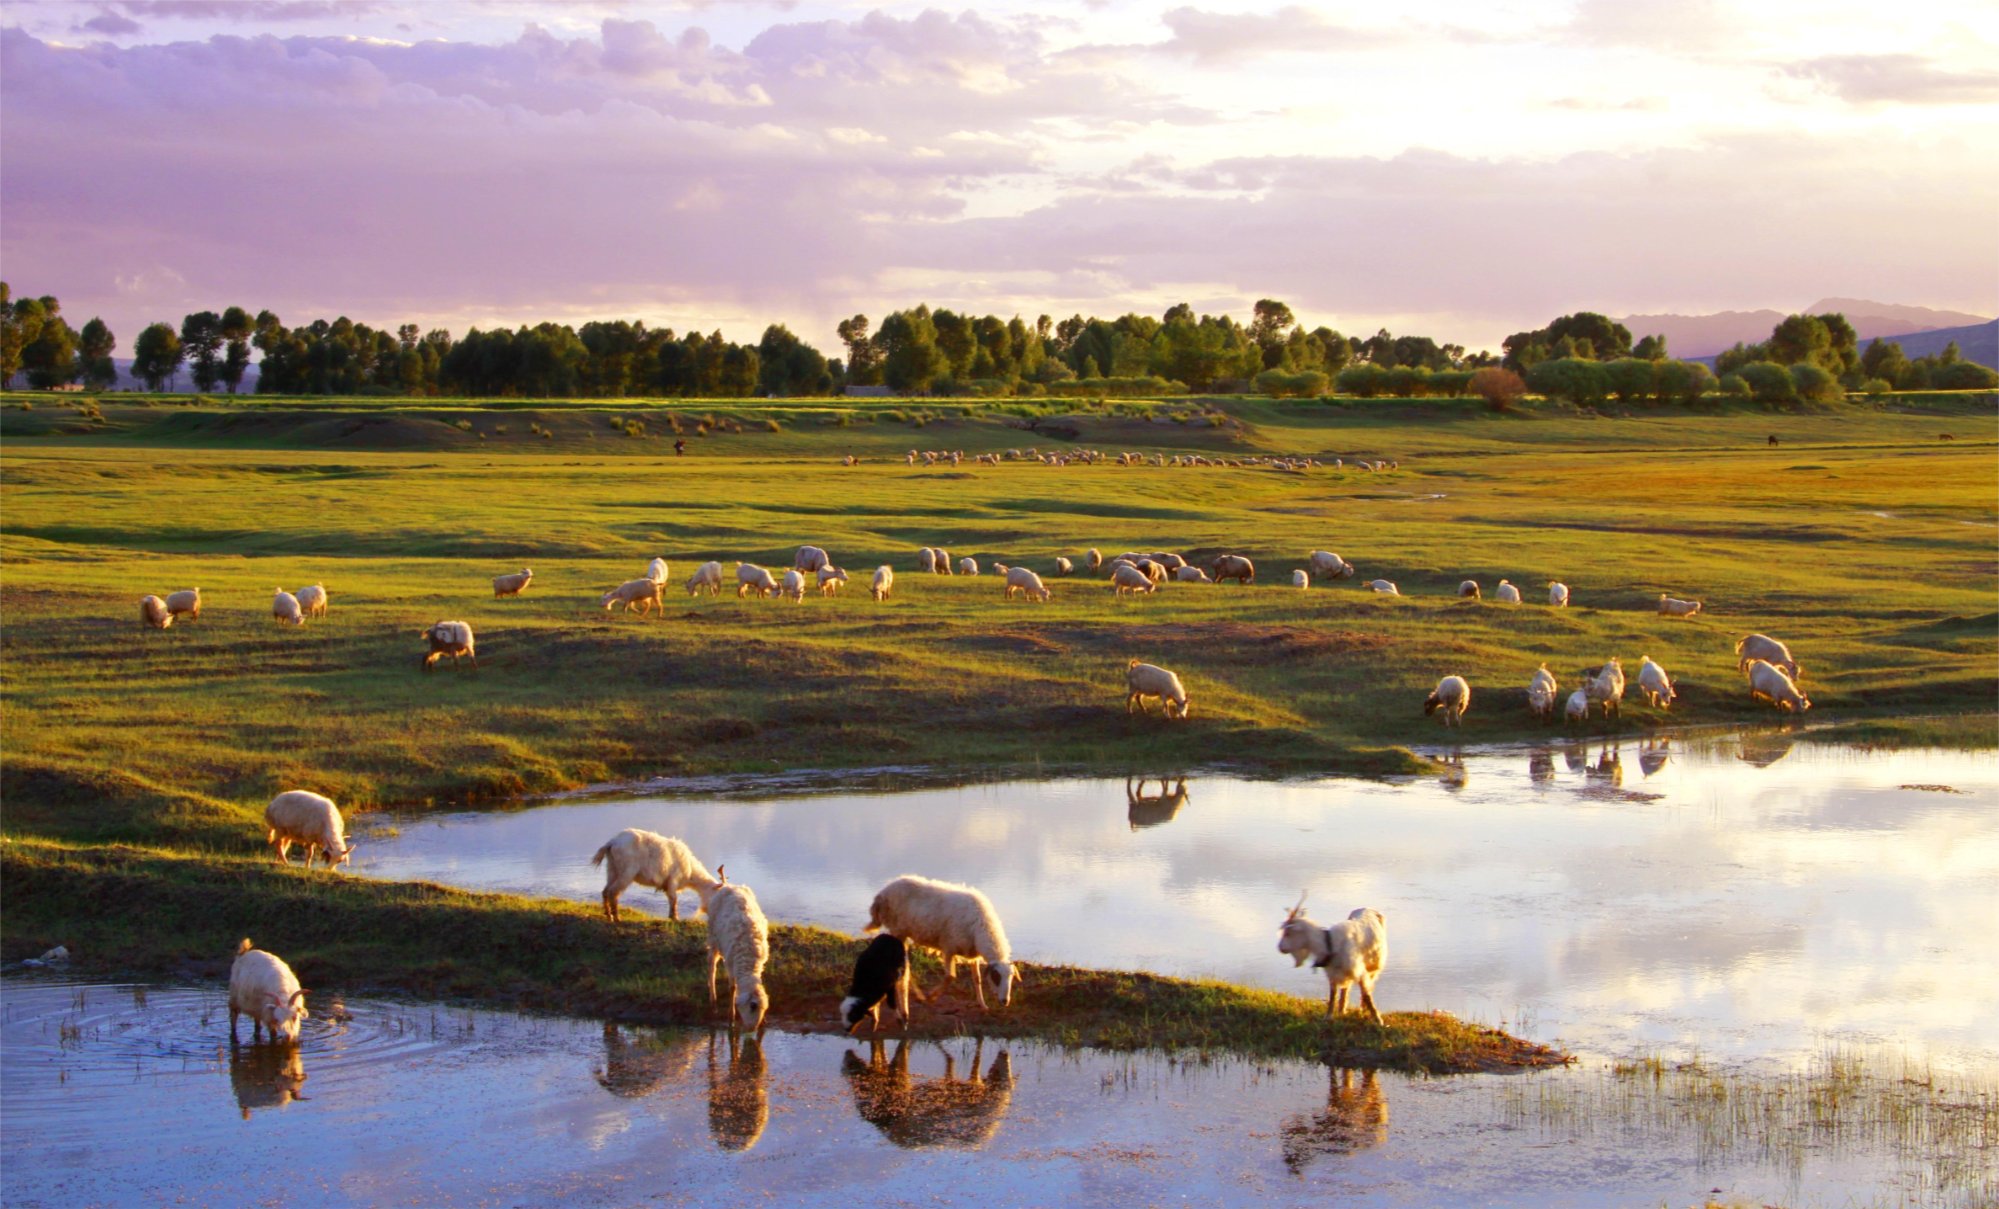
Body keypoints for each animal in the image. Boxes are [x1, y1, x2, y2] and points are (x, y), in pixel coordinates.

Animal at [583, 823, 719, 919]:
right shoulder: (674, 879)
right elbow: (674, 899)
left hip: (612, 867)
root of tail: (612, 842)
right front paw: (675, 918)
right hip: (626, 870)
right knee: (613, 891)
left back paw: (608, 914)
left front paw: (671, 917)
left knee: (605, 890)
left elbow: (671, 899)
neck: (690, 870)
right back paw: (616, 918)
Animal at [699, 871, 767, 1031]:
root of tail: (728, 886)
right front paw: (731, 1016)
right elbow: (732, 987)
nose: (752, 1029)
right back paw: (713, 1001)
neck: (749, 957)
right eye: (752, 1006)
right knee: (711, 964)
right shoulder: (730, 963)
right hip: (713, 936)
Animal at [863, 875, 1023, 1007]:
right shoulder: (949, 947)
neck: (981, 928)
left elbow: (976, 978)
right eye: (996, 976)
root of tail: (883, 892)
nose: (1005, 1001)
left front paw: (983, 1005)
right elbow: (950, 977)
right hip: (898, 930)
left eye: (1012, 977)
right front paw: (931, 997)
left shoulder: (971, 952)